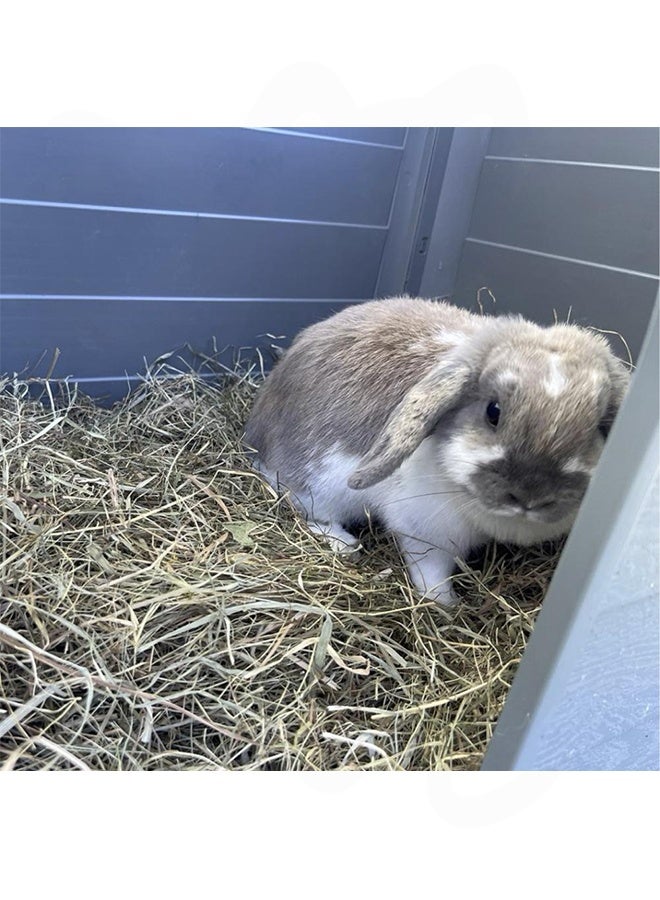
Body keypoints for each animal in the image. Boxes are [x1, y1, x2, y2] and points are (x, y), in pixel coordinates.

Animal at [244, 296, 630, 607]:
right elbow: (430, 569)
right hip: (315, 486)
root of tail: (255, 431)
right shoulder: (425, 531)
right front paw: (445, 604)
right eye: (493, 411)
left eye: (599, 428)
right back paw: (344, 543)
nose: (529, 496)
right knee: (303, 507)